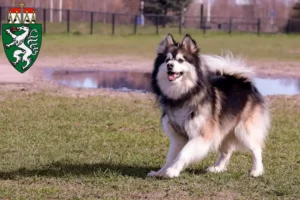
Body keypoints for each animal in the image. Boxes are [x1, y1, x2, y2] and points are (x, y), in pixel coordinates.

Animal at [149, 34, 270, 178]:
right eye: (167, 60)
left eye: (180, 60)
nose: (169, 65)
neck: (183, 96)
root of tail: (241, 81)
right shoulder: (178, 137)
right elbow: (171, 157)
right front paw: (160, 172)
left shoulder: (201, 135)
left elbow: (183, 154)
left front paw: (172, 171)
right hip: (224, 129)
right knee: (226, 151)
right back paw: (218, 168)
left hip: (244, 130)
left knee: (256, 149)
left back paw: (256, 170)